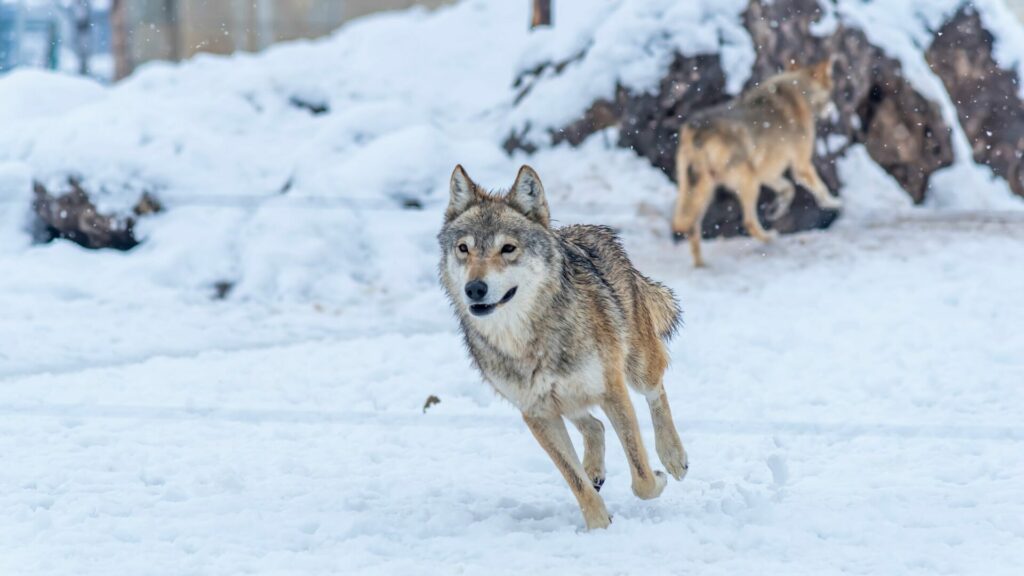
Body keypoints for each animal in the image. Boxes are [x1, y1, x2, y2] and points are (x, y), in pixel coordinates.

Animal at [438, 163, 688, 528]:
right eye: (463, 249)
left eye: (508, 248)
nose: (475, 289)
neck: (528, 341)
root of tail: (593, 230)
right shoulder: (537, 413)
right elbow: (576, 484)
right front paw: (599, 526)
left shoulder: (613, 390)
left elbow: (641, 477)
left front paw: (658, 477)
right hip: (567, 401)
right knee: (595, 426)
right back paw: (594, 471)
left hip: (637, 370)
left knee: (657, 392)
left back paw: (673, 457)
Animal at [671, 58, 839, 264]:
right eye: (831, 90)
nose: (832, 111)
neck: (799, 89)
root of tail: (698, 129)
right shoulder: (801, 166)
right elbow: (820, 189)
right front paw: (834, 203)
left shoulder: (768, 171)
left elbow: (788, 188)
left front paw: (777, 209)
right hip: (747, 182)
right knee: (748, 222)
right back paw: (770, 237)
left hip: (703, 190)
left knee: (691, 227)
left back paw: (700, 266)